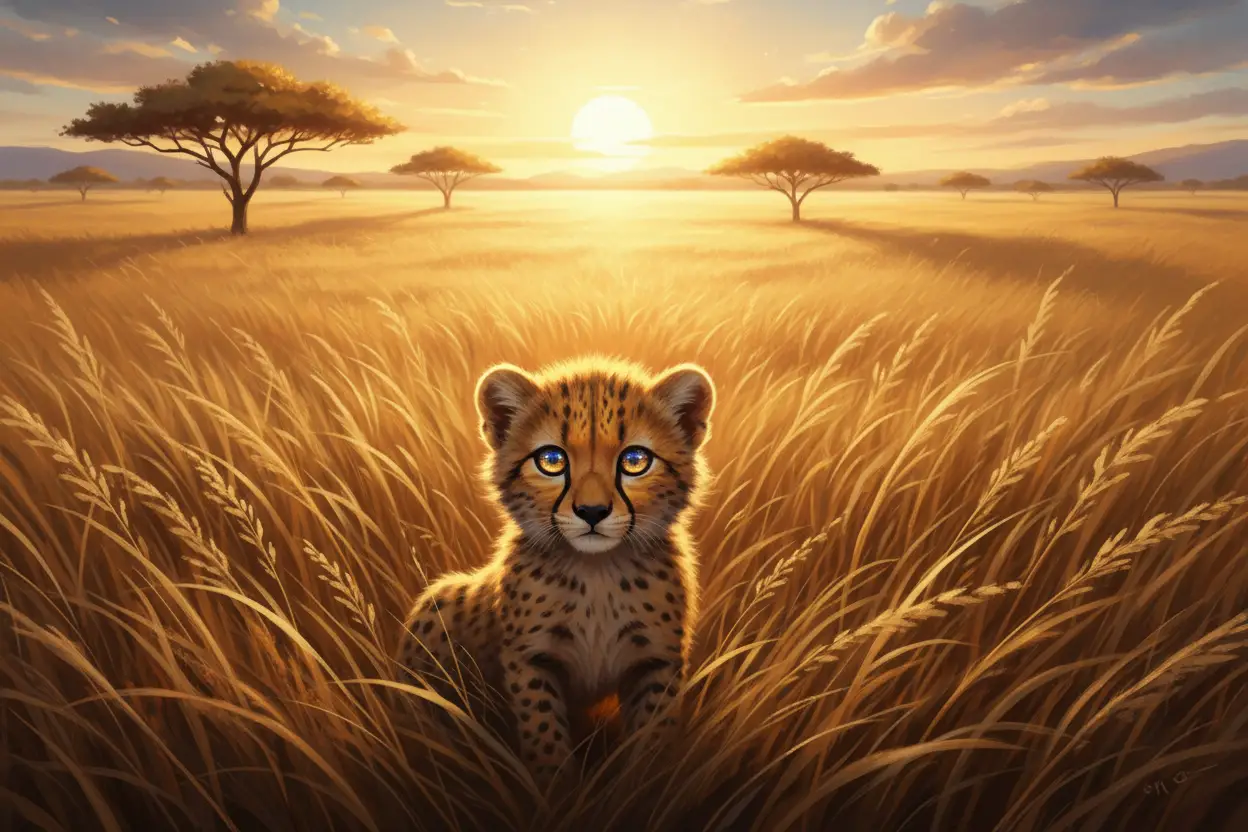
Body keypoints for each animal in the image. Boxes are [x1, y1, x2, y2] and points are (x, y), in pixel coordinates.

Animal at [396, 356, 714, 784]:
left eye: (635, 461)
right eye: (551, 460)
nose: (592, 512)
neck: (597, 572)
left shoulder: (656, 662)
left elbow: (651, 735)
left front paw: (642, 784)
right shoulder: (530, 660)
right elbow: (543, 731)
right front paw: (558, 788)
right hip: (439, 605)